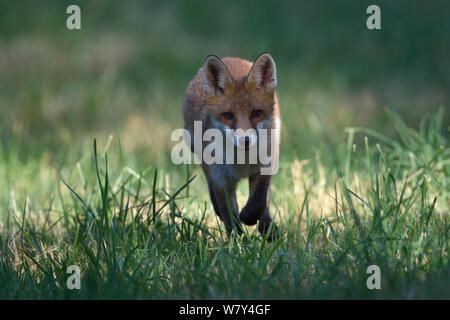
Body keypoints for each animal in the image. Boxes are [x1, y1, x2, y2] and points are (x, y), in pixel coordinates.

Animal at [181, 53, 280, 240]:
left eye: (256, 113)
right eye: (228, 115)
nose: (245, 140)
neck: (242, 162)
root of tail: (229, 57)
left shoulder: (267, 164)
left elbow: (260, 199)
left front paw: (251, 218)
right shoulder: (221, 179)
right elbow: (231, 219)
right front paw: (239, 243)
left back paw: (267, 228)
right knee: (212, 188)